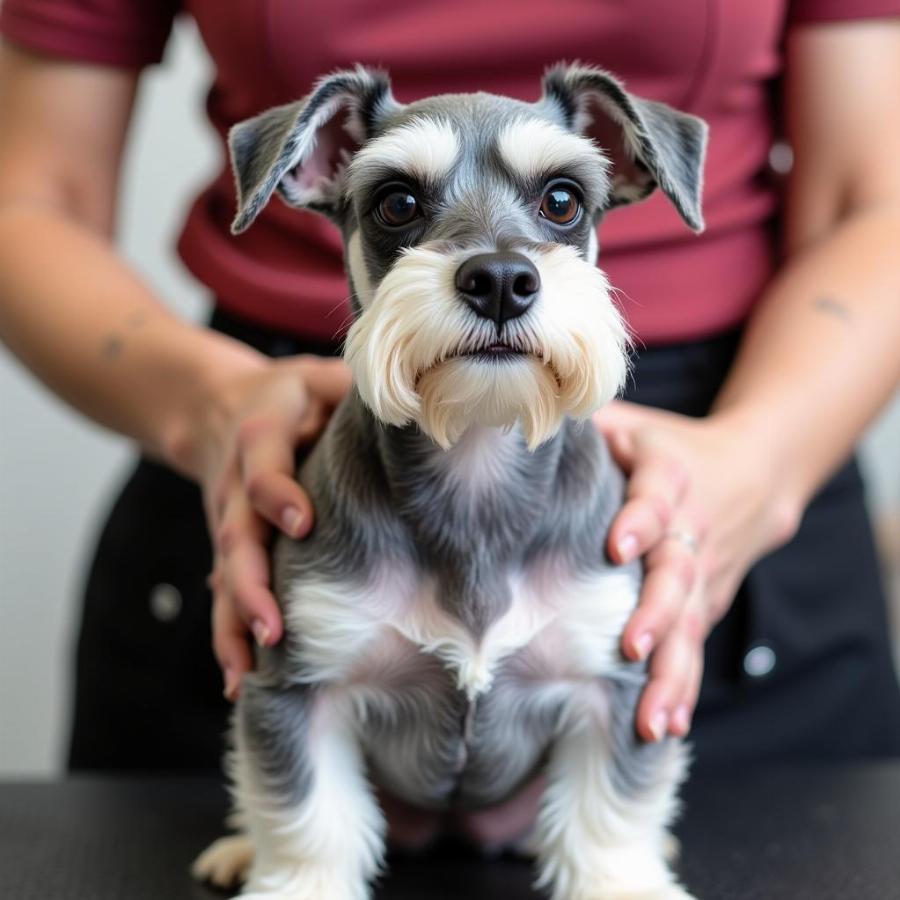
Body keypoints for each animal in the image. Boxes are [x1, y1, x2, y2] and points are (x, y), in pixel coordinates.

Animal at [193, 63, 708, 900]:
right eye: (396, 203)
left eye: (562, 199)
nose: (499, 278)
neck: (476, 464)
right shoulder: (301, 682)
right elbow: (307, 817)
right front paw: (297, 877)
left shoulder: (616, 682)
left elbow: (608, 817)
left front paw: (623, 877)